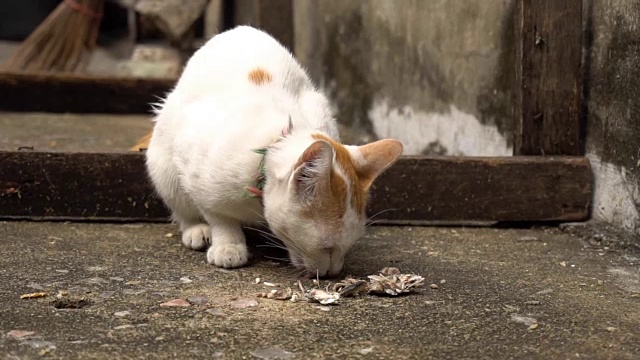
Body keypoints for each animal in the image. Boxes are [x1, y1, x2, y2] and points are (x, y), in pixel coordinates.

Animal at [139, 26, 402, 278]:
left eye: (349, 246)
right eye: (327, 247)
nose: (333, 273)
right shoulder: (193, 163)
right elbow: (217, 214)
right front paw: (228, 245)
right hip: (162, 163)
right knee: (178, 202)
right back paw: (196, 229)